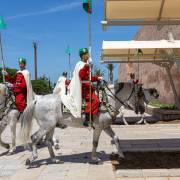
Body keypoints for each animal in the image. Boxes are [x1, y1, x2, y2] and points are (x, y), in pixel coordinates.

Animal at [19, 81, 158, 166]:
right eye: (140, 94)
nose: (142, 109)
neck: (107, 101)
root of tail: (38, 100)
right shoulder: (99, 128)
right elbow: (95, 143)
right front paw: (95, 158)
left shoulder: (106, 126)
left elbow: (116, 138)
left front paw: (122, 156)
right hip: (46, 126)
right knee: (34, 137)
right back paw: (32, 158)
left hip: (51, 126)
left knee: (48, 141)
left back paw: (55, 159)